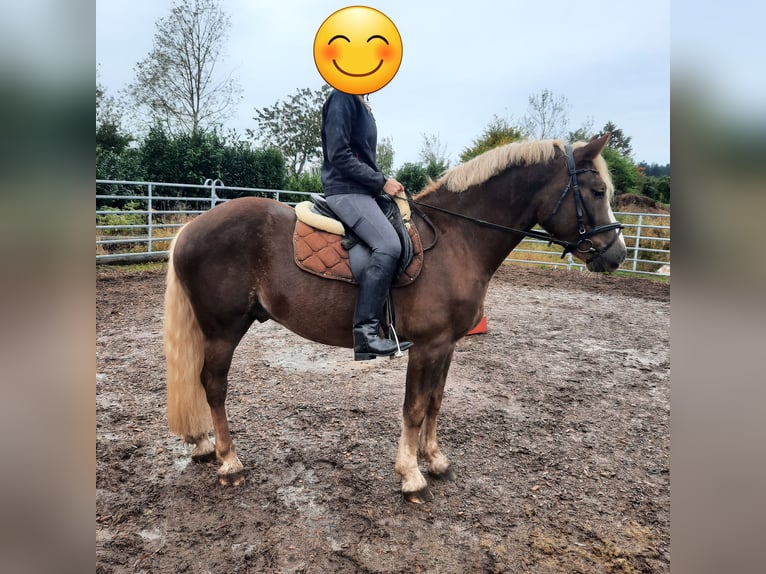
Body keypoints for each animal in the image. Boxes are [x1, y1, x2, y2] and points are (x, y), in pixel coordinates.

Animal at [165, 134, 628, 504]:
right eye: (597, 190)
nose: (617, 254)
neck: (458, 239)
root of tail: (190, 228)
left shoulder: (447, 344)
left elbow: (436, 401)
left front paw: (435, 459)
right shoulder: (427, 345)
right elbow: (415, 407)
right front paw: (410, 475)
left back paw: (204, 445)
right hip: (223, 330)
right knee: (213, 386)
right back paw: (229, 461)